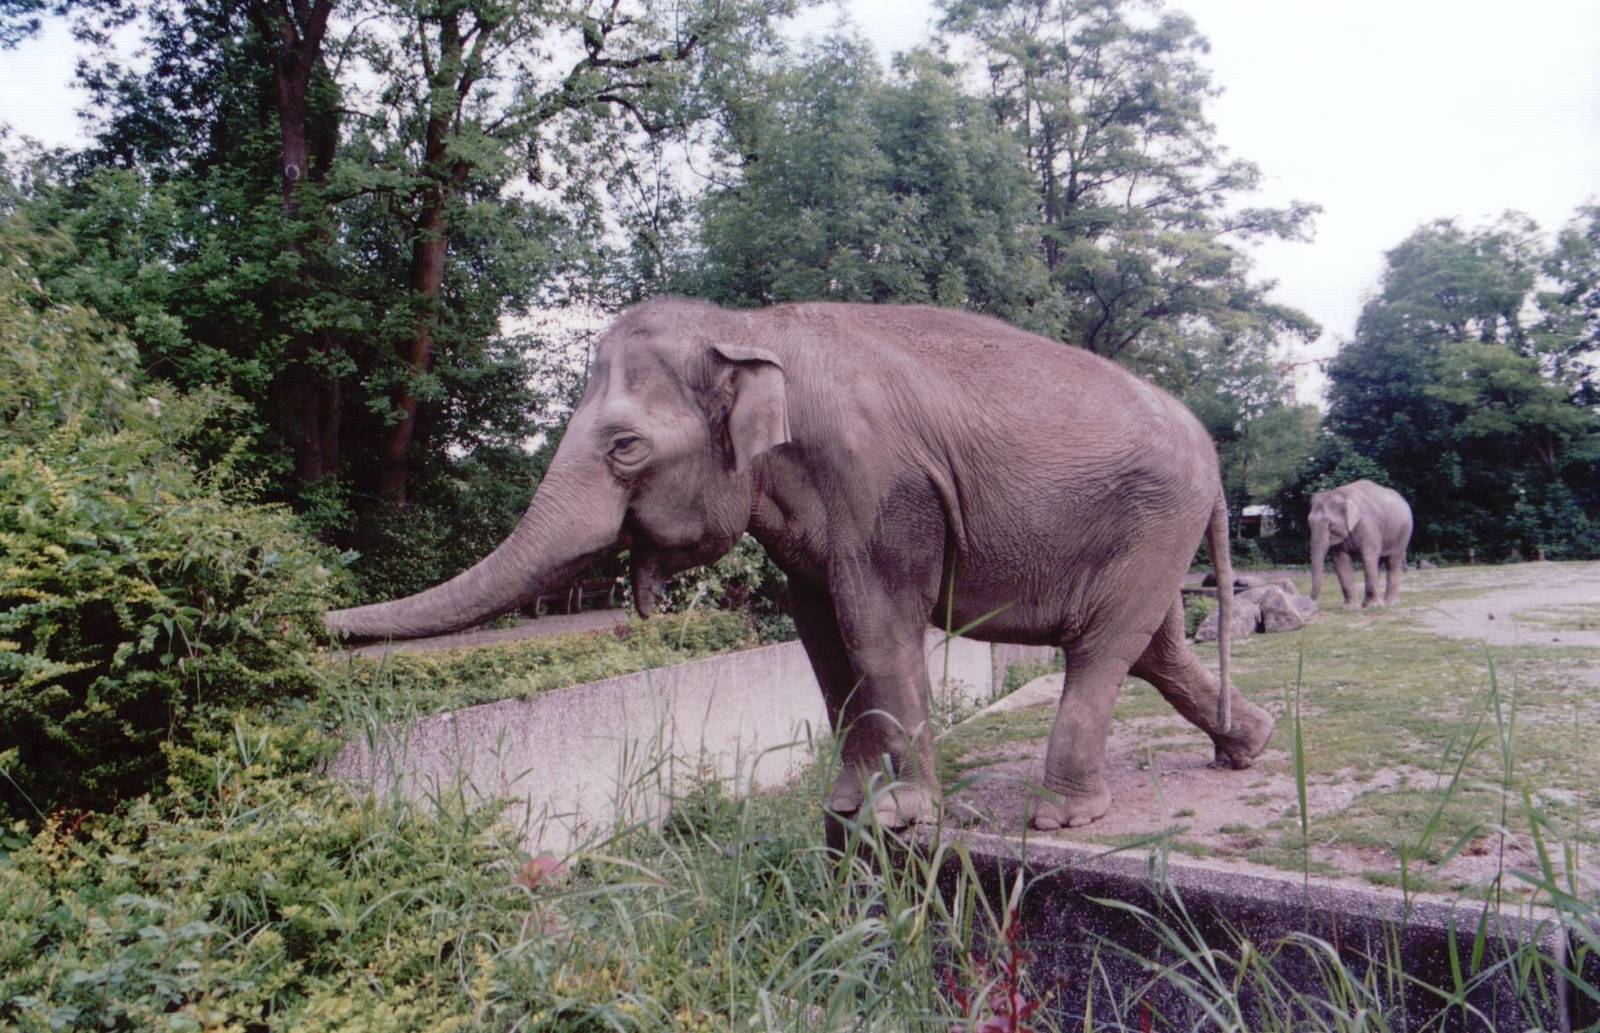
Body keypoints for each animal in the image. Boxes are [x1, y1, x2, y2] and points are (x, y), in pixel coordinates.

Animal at [326, 298, 1275, 831]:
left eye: (625, 448)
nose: (316, 616)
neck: (744, 328)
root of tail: (1212, 453)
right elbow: (821, 637)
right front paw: (844, 809)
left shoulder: (880, 485)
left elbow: (877, 628)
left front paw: (903, 821)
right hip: (1153, 535)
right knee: (1155, 645)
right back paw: (1249, 746)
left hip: (1156, 522)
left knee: (1103, 650)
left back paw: (1063, 816)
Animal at [1308, 479, 1414, 608]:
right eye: (1309, 523)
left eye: (1330, 525)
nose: (1311, 601)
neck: (1341, 493)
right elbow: (1340, 561)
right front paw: (1349, 608)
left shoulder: (1368, 525)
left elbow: (1367, 557)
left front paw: (1373, 607)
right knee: (1378, 564)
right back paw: (1369, 603)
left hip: (1403, 532)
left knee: (1392, 562)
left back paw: (1390, 603)